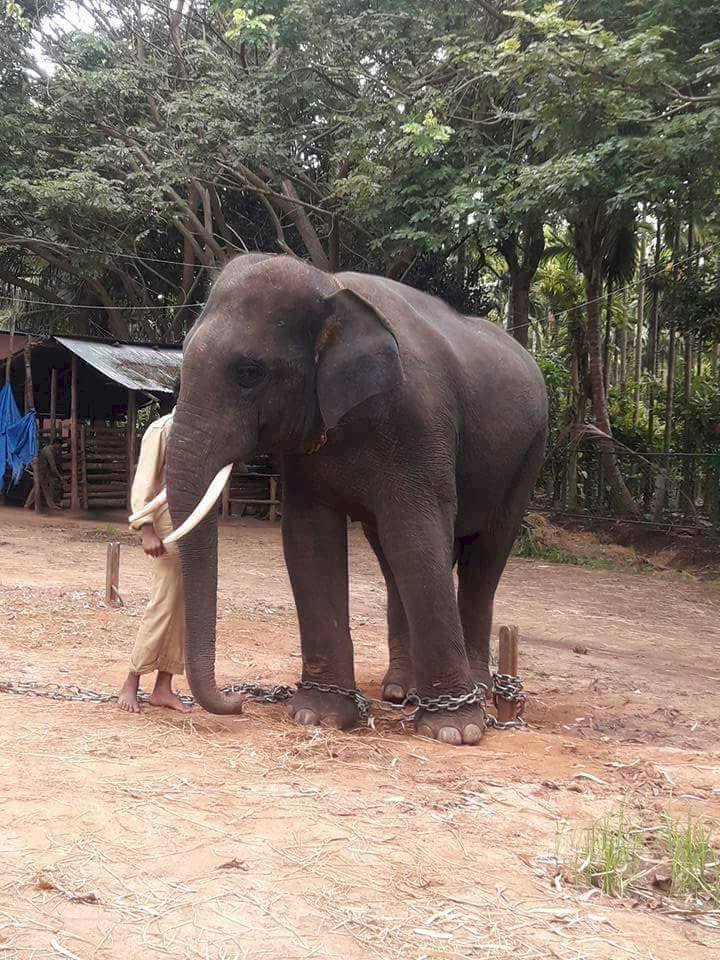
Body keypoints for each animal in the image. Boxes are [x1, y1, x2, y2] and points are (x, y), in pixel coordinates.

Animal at [142, 253, 547, 746]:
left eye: (249, 373)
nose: (239, 701)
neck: (331, 286)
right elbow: (309, 538)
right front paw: (317, 715)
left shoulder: (417, 423)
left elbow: (416, 535)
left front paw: (456, 731)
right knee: (393, 557)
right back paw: (399, 691)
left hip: (528, 456)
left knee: (483, 558)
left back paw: (479, 692)